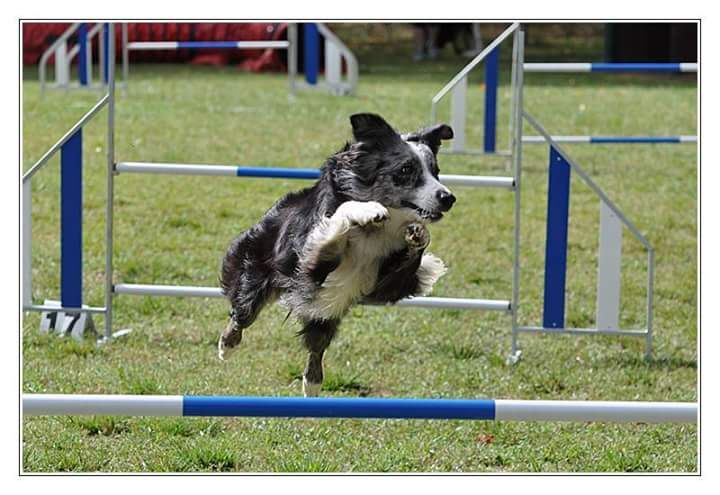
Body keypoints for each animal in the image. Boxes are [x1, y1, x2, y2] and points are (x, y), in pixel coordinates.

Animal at [219, 114, 456, 398]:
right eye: (406, 170)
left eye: (436, 171)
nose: (448, 198)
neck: (377, 230)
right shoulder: (311, 262)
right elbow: (341, 215)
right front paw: (368, 210)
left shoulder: (386, 285)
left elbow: (413, 258)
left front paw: (417, 233)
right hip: (256, 273)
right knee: (243, 313)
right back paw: (227, 345)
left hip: (324, 314)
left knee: (316, 346)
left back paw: (312, 383)